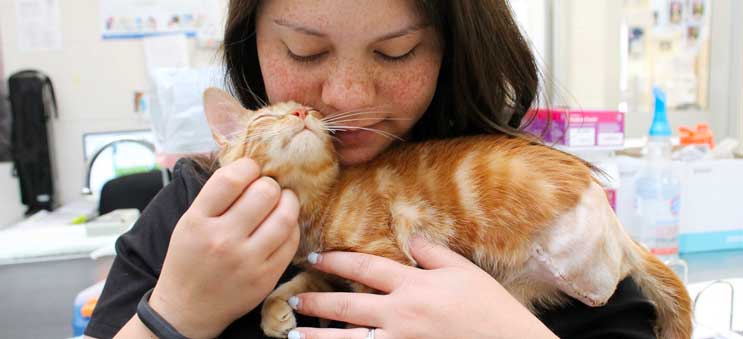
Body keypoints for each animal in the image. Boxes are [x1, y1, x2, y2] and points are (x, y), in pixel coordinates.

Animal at [202, 88, 692, 339]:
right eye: (268, 118)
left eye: (315, 112)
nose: (304, 112)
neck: (313, 205)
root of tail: (619, 229)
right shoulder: (331, 270)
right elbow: (288, 286)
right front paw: (276, 315)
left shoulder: (386, 261)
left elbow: (365, 310)